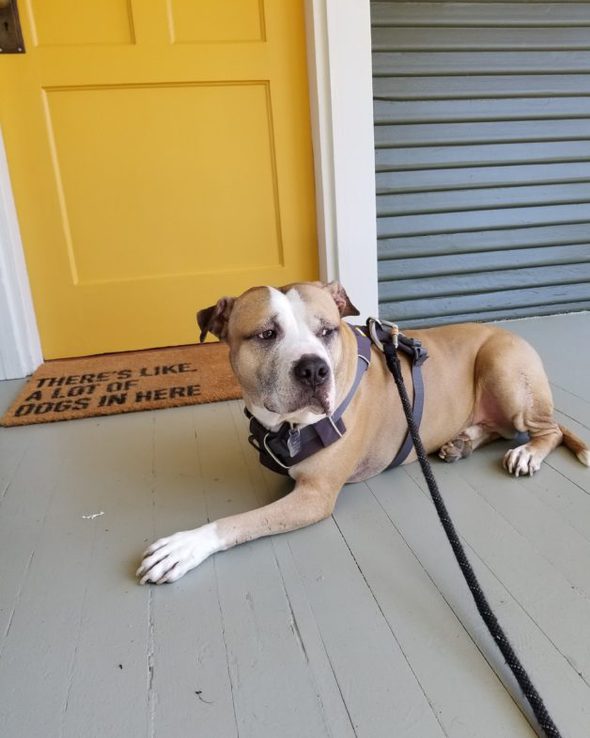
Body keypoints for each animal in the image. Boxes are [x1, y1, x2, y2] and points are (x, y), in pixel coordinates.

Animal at [138, 278, 588, 584]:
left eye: (327, 330)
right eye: (266, 334)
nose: (314, 369)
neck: (287, 426)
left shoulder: (314, 498)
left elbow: (239, 521)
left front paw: (186, 545)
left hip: (503, 369)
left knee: (547, 430)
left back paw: (526, 452)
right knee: (497, 428)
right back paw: (463, 441)